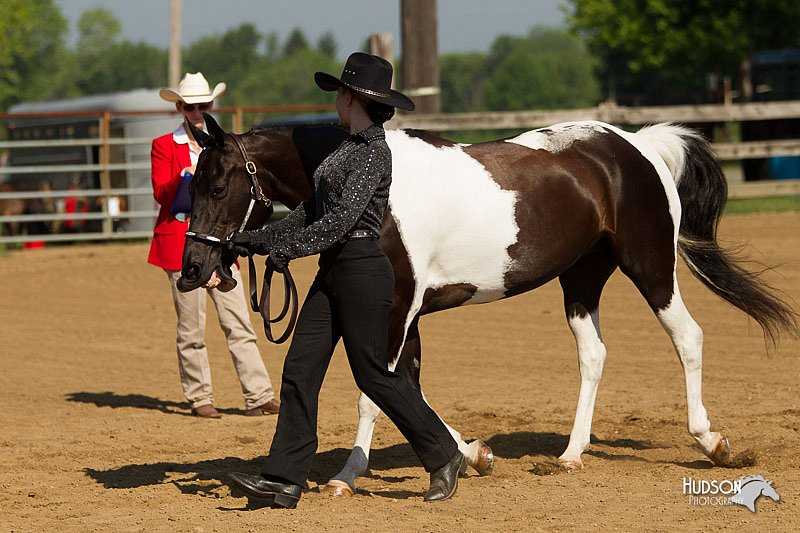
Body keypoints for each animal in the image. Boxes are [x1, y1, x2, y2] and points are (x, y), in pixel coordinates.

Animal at [178, 114, 796, 496]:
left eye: (216, 187)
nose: (193, 270)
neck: (371, 192)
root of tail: (638, 145)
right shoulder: (407, 312)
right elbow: (407, 385)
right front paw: (473, 455)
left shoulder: (396, 306)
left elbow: (374, 395)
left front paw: (346, 476)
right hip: (581, 280)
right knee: (594, 356)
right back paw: (571, 454)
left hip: (650, 265)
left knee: (687, 336)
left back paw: (713, 443)